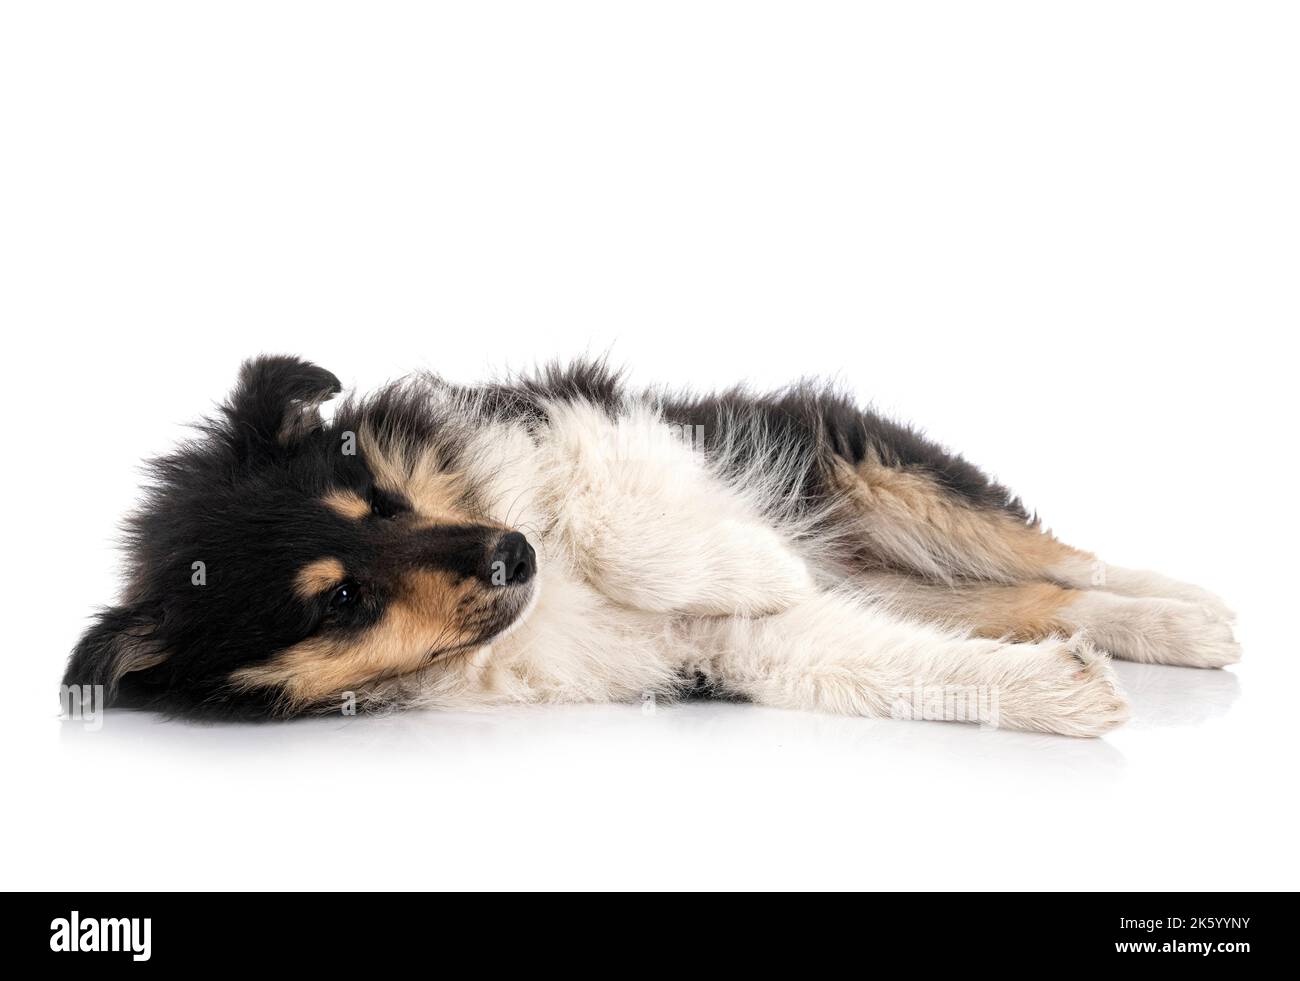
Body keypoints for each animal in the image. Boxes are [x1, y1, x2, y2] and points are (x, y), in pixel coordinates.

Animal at [63, 356, 1237, 738]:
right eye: (338, 601)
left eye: (379, 498)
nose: (514, 559)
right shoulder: (728, 652)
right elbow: (889, 666)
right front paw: (1066, 695)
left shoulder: (600, 430)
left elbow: (629, 528)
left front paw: (759, 560)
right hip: (918, 571)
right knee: (1027, 599)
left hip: (881, 473)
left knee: (1067, 557)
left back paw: (1198, 612)